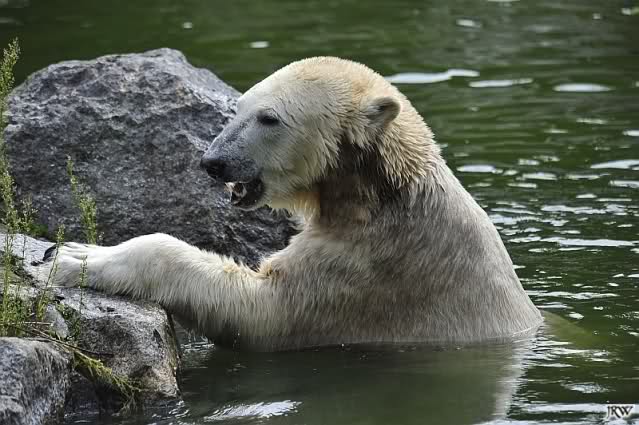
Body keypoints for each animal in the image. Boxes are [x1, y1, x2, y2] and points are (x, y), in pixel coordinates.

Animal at [49, 57, 542, 351]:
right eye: (238, 106)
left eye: (269, 118)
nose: (213, 162)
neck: (380, 194)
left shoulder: (370, 272)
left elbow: (261, 312)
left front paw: (78, 256)